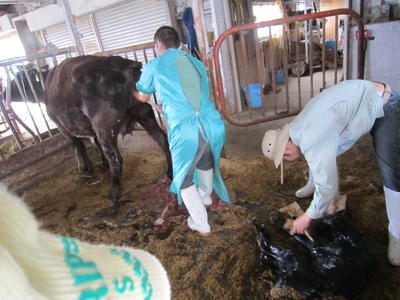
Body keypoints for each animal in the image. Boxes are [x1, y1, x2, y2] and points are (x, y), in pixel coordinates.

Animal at [44, 56, 173, 202]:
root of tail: (125, 65)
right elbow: (96, 143)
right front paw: (102, 163)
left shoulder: (63, 129)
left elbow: (80, 146)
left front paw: (89, 168)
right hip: (144, 112)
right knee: (162, 139)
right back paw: (170, 172)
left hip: (104, 127)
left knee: (116, 158)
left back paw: (113, 194)